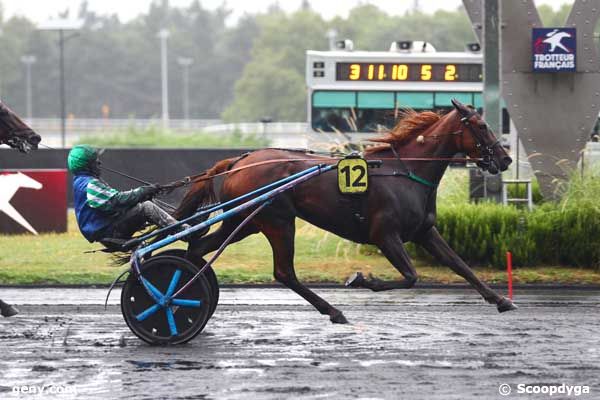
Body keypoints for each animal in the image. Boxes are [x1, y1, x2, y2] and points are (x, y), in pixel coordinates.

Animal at [176, 98, 512, 324]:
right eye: (482, 125)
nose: (506, 159)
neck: (405, 172)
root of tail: (239, 161)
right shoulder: (385, 235)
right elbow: (411, 276)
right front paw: (362, 280)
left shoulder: (424, 232)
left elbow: (460, 264)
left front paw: (500, 299)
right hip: (277, 221)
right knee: (284, 272)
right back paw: (333, 310)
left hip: (245, 221)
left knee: (200, 247)